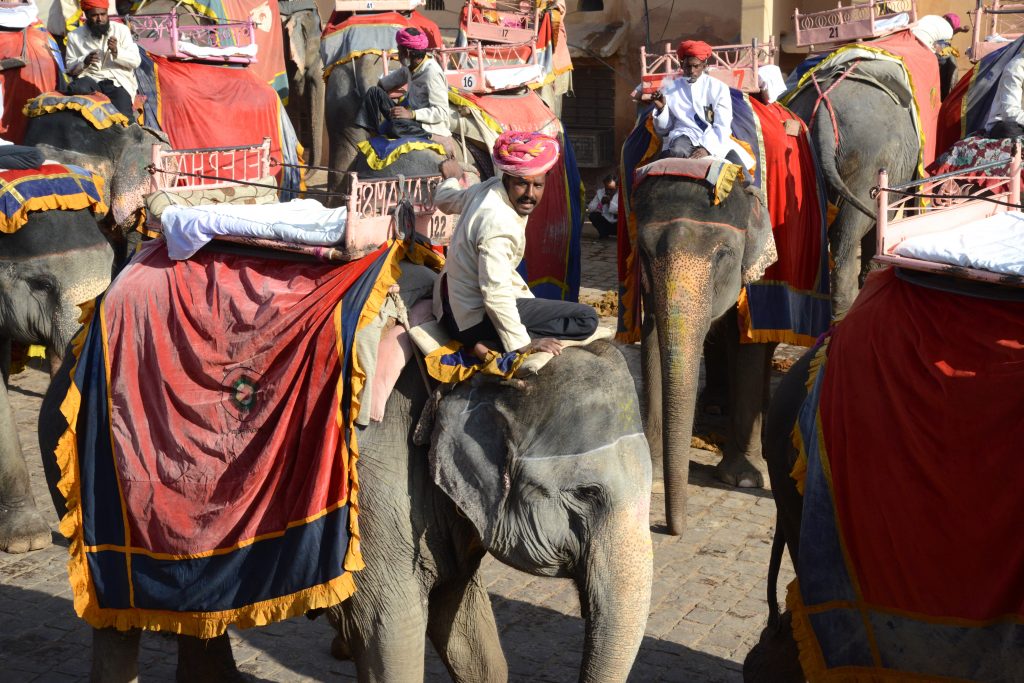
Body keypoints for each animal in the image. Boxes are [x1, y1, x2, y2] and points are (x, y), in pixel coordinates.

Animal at [630, 174, 774, 536]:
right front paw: (655, 476)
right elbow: (653, 337)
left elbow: (747, 337)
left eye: (724, 254)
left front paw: (743, 480)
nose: (670, 529)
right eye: (644, 252)